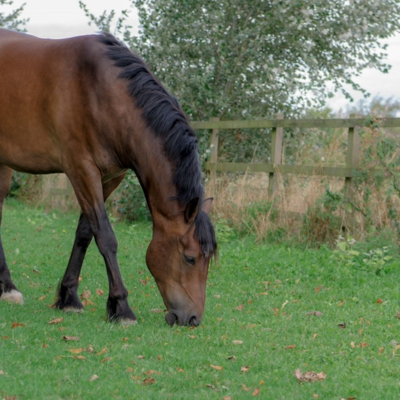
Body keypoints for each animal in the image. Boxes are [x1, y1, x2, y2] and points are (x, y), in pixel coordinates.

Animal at [0, 29, 216, 326]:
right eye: (190, 258)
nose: (193, 318)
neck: (102, 92)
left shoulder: (111, 177)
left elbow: (85, 233)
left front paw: (69, 297)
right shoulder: (81, 170)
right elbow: (106, 237)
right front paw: (121, 307)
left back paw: (7, 287)